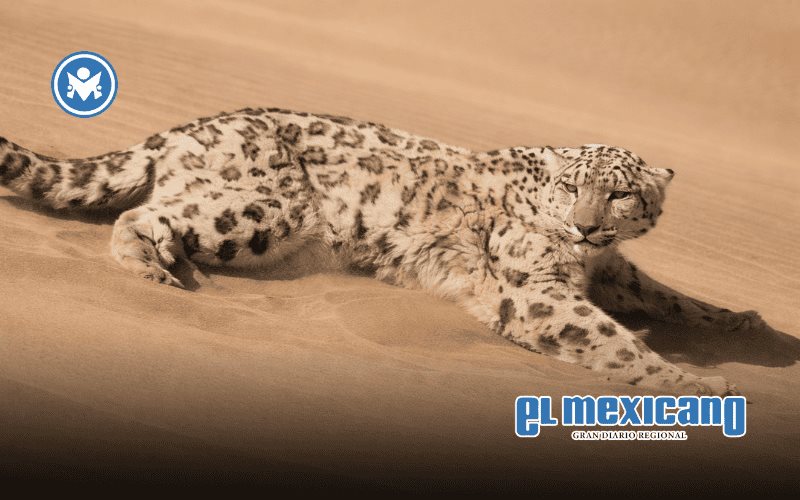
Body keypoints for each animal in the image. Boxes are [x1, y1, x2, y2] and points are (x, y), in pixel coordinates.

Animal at [0, 107, 771, 395]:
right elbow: (606, 336)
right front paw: (693, 383)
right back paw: (152, 268)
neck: (582, 261)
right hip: (263, 212)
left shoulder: (611, 269)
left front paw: (739, 320)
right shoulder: (536, 288)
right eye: (571, 187)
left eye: (621, 196)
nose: (584, 228)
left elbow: (662, 292)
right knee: (142, 211)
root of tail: (183, 127)